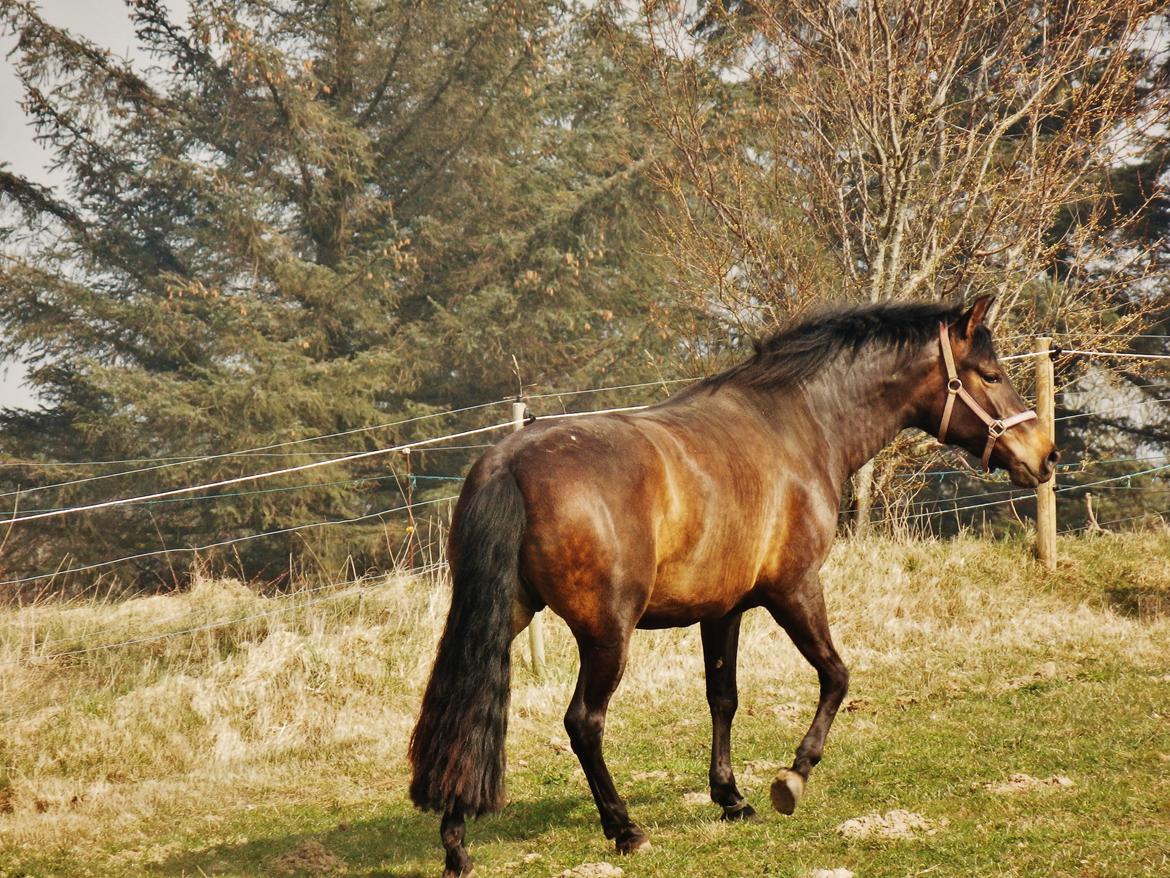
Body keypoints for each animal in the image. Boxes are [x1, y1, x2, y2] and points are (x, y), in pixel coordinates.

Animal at [407, 297, 1057, 878]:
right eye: (991, 374)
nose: (1045, 456)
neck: (798, 425)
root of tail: (507, 463)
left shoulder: (723, 610)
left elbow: (723, 696)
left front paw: (731, 797)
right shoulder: (794, 589)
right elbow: (836, 675)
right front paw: (791, 779)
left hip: (500, 618)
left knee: (464, 713)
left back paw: (456, 844)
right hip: (606, 633)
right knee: (583, 723)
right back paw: (624, 829)